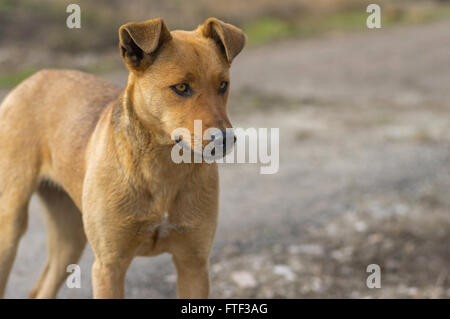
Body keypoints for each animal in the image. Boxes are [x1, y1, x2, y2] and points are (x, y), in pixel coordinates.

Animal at [0, 17, 246, 298]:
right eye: (181, 87)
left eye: (223, 85)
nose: (226, 139)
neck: (162, 168)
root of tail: (35, 77)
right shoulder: (109, 265)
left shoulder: (193, 263)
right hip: (10, 225)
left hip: (70, 238)